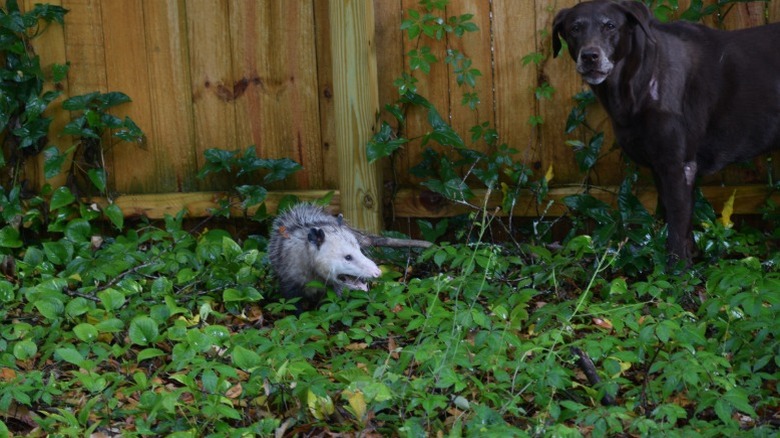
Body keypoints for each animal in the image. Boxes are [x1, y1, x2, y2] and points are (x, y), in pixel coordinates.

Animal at [552, 0, 780, 264]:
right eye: (574, 29)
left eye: (610, 26)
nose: (589, 56)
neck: (641, 77)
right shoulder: (659, 166)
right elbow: (681, 226)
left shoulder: (678, 167)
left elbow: (677, 228)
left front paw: (677, 271)